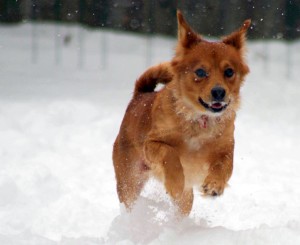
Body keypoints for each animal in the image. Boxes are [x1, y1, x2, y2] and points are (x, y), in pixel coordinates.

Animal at [112, 10, 251, 215]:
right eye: (200, 72)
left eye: (229, 72)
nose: (219, 92)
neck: (199, 120)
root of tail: (139, 95)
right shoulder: (152, 144)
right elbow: (170, 153)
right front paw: (175, 183)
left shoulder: (225, 148)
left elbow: (224, 166)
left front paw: (214, 184)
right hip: (129, 181)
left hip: (185, 200)